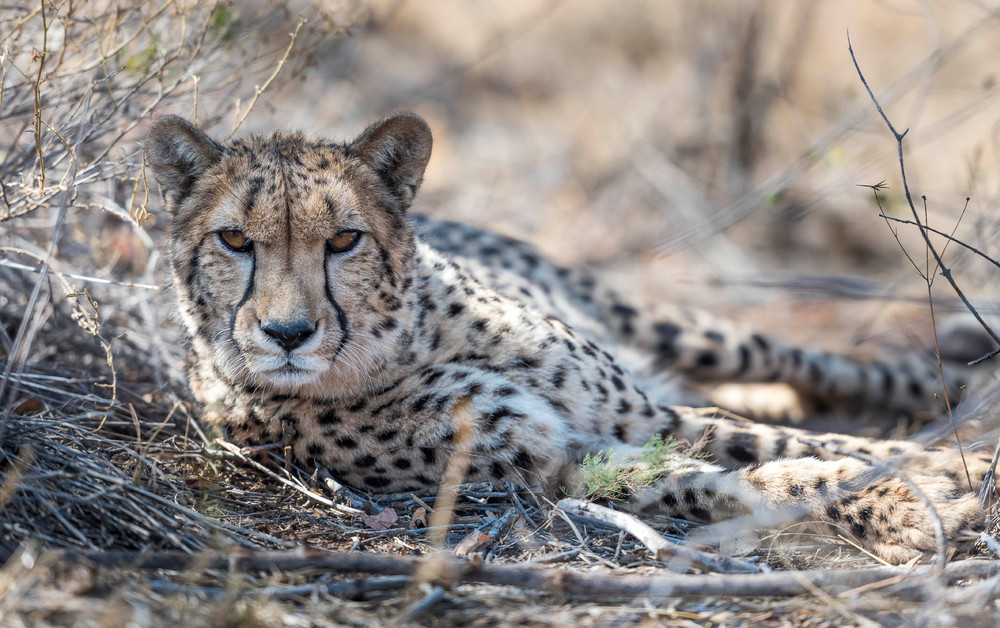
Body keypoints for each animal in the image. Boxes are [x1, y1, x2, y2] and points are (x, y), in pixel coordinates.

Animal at [146, 111, 992, 564]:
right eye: (235, 241)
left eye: (344, 240)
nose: (288, 333)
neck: (408, 344)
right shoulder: (554, 466)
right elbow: (733, 479)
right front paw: (905, 507)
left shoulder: (641, 414)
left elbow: (807, 444)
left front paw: (952, 469)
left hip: (676, 329)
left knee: (810, 364)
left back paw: (954, 382)